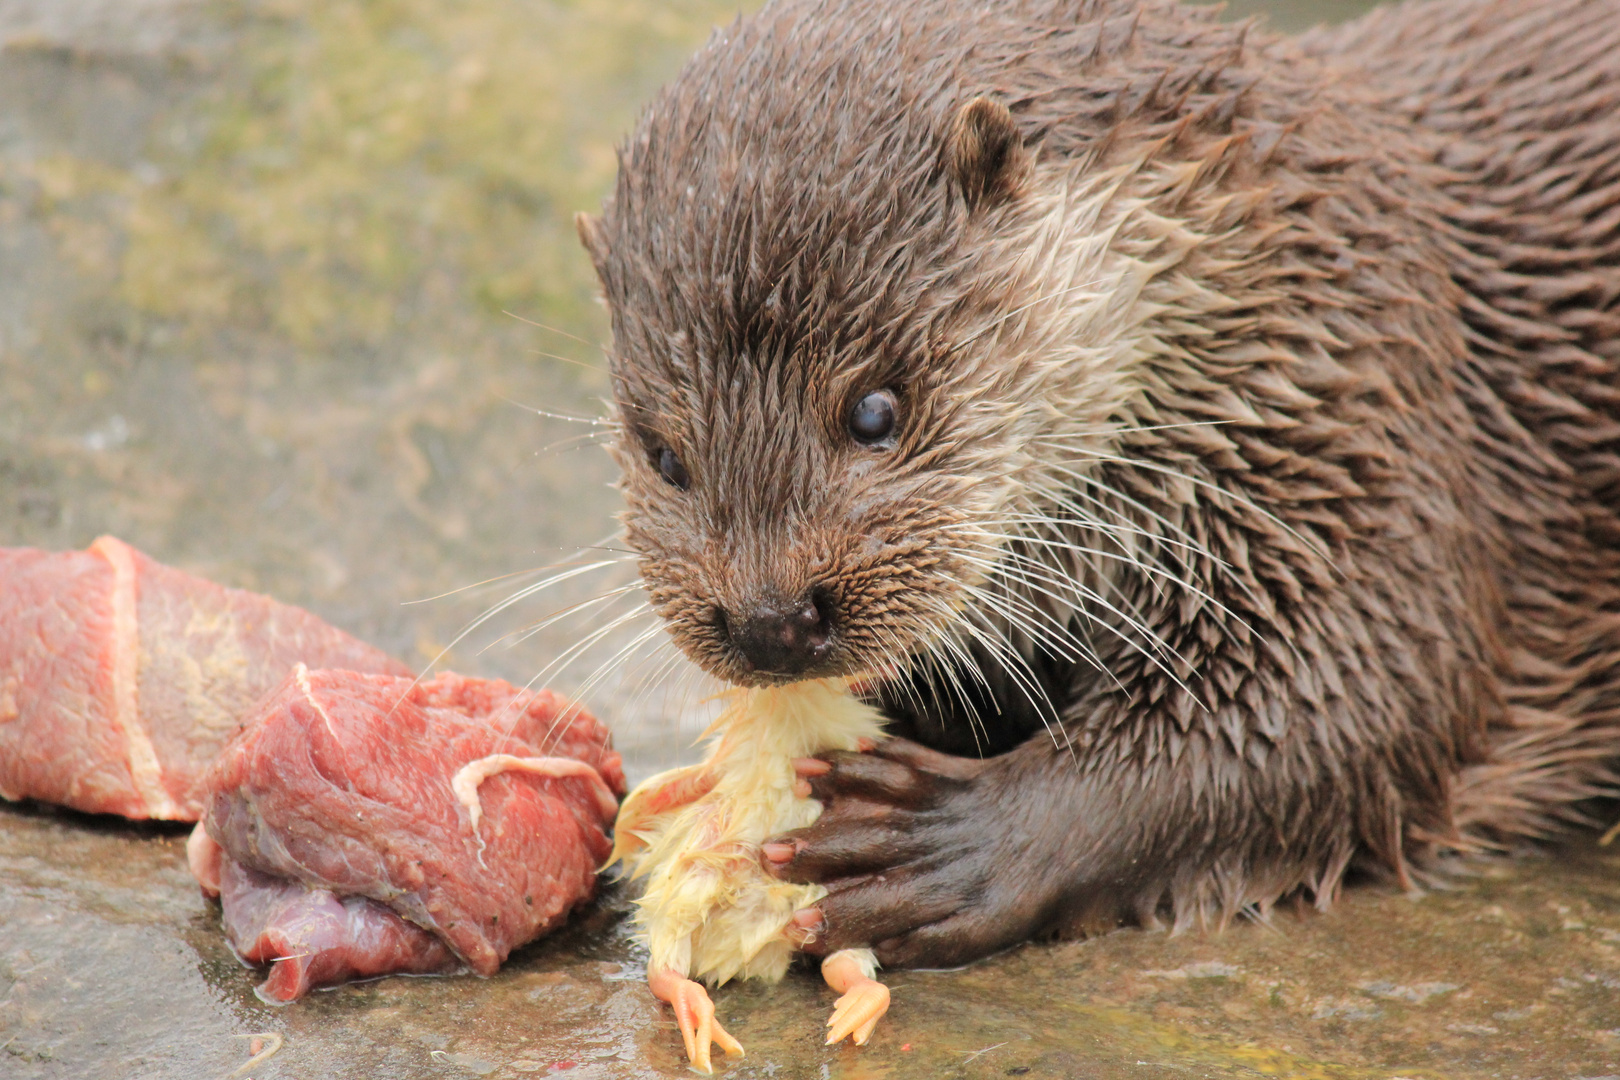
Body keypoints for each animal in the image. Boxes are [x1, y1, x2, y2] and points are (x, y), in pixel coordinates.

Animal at [576, 0, 1620, 971]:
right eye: (663, 454)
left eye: (876, 409)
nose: (770, 620)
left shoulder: (1366, 413)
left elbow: (1358, 693)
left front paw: (960, 842)